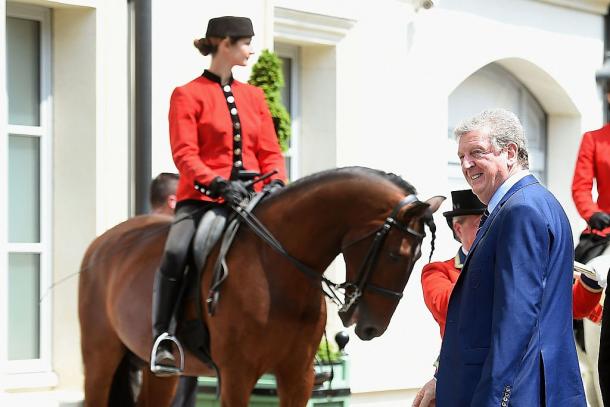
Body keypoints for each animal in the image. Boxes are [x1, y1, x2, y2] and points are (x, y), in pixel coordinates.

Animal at [79, 167, 442, 406]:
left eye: (418, 257)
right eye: (395, 255)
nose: (370, 328)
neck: (278, 272)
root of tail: (101, 243)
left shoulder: (298, 376)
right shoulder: (237, 377)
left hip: (156, 371)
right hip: (100, 358)